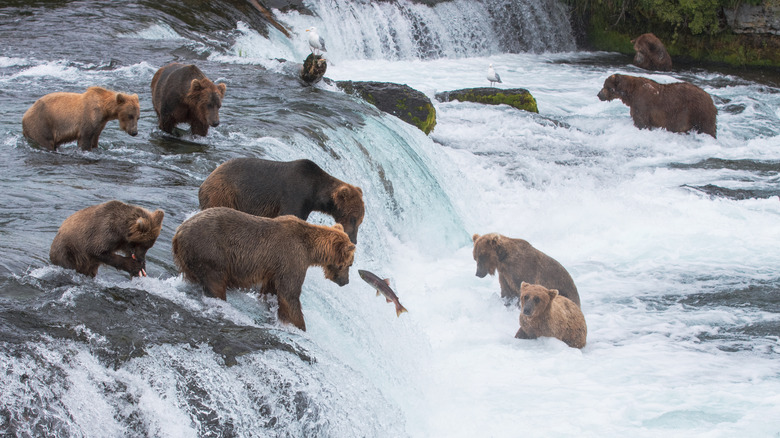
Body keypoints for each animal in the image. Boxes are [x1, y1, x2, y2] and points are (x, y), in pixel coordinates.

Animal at [172, 207, 358, 330]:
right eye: (350, 264)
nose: (346, 281)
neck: (311, 249)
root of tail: (178, 232)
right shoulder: (292, 257)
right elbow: (290, 294)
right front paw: (299, 326)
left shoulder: (275, 268)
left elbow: (271, 290)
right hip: (211, 252)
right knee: (215, 282)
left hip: (190, 258)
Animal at [195, 157, 366, 245]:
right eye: (353, 218)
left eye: (360, 221)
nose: (354, 240)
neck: (314, 193)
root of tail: (205, 181)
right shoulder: (295, 195)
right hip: (224, 194)